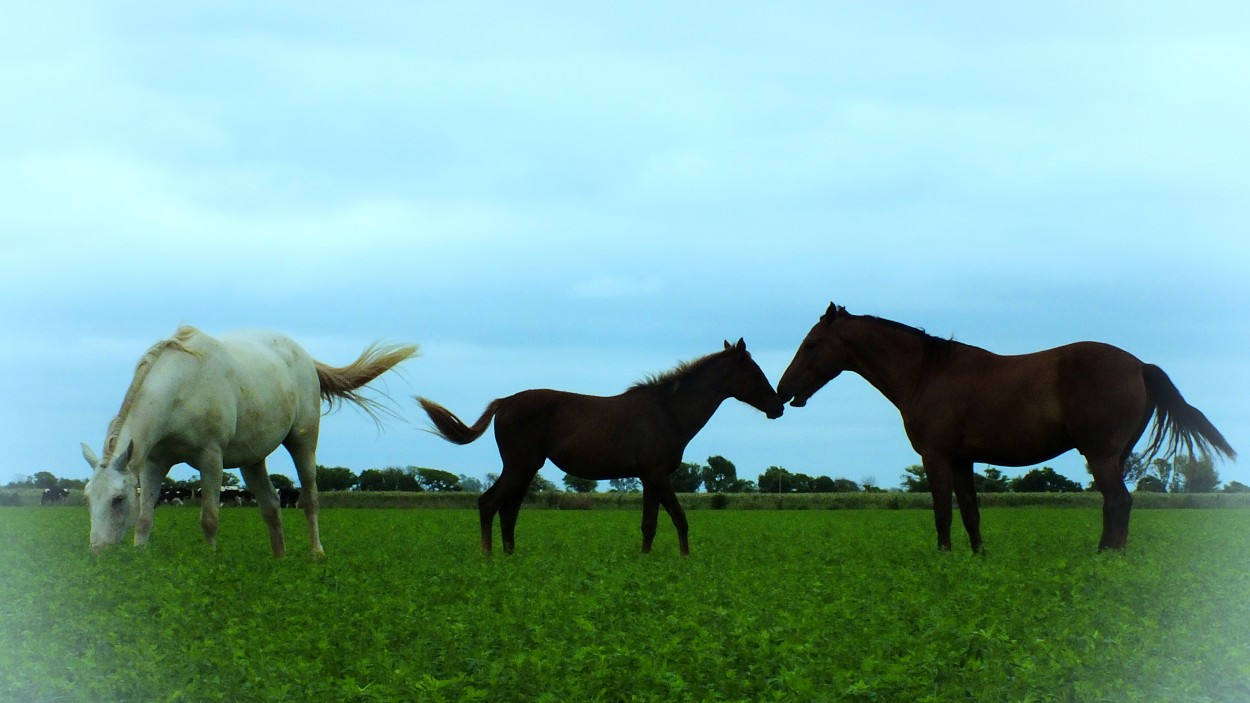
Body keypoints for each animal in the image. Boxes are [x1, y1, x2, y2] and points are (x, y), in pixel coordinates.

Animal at [80, 325, 417, 555]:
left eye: (117, 499)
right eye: (87, 497)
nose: (97, 551)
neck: (181, 388)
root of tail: (305, 358)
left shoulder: (210, 458)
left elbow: (209, 518)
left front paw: (210, 561)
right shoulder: (154, 462)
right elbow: (144, 518)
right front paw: (140, 557)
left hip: (304, 444)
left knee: (310, 499)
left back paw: (316, 553)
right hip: (252, 460)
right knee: (271, 504)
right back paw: (279, 558)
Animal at [417, 340, 780, 552]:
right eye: (753, 370)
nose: (778, 406)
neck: (668, 411)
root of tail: (503, 403)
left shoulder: (649, 477)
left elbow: (650, 526)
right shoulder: (658, 474)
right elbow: (679, 519)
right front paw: (685, 562)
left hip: (526, 467)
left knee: (508, 511)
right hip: (520, 465)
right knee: (489, 504)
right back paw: (489, 560)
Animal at [775, 303, 1235, 550]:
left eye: (811, 344)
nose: (782, 390)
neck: (927, 374)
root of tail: (1139, 365)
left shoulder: (936, 457)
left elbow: (942, 513)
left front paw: (943, 560)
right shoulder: (962, 460)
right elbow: (971, 513)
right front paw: (977, 560)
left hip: (1102, 455)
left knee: (1119, 502)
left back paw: (1108, 558)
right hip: (1116, 456)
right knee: (1113, 504)